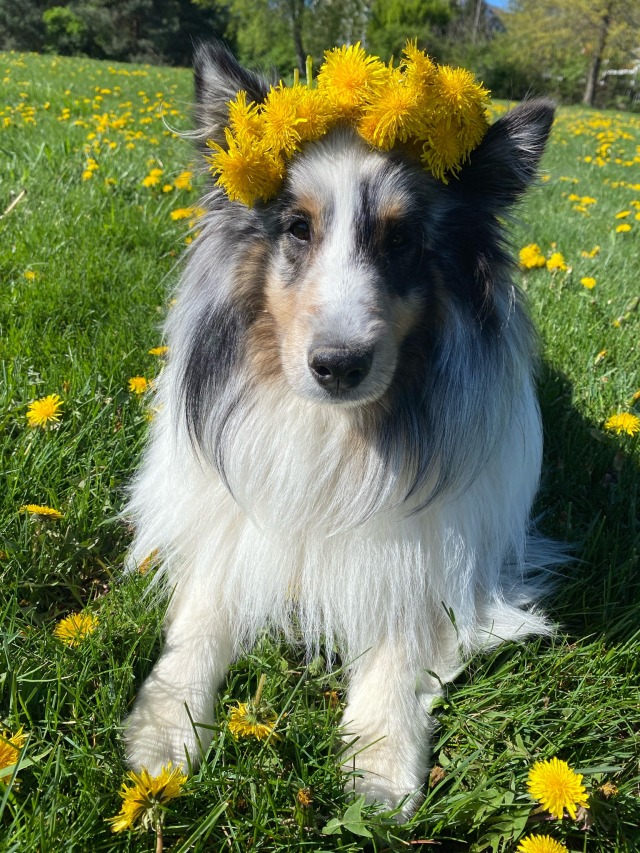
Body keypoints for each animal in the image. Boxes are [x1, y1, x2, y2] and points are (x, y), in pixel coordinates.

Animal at [124, 41, 556, 820]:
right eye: (297, 227)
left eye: (403, 238)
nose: (338, 366)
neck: (337, 427)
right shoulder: (230, 529)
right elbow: (200, 618)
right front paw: (162, 736)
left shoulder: (431, 557)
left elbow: (399, 641)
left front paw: (380, 768)